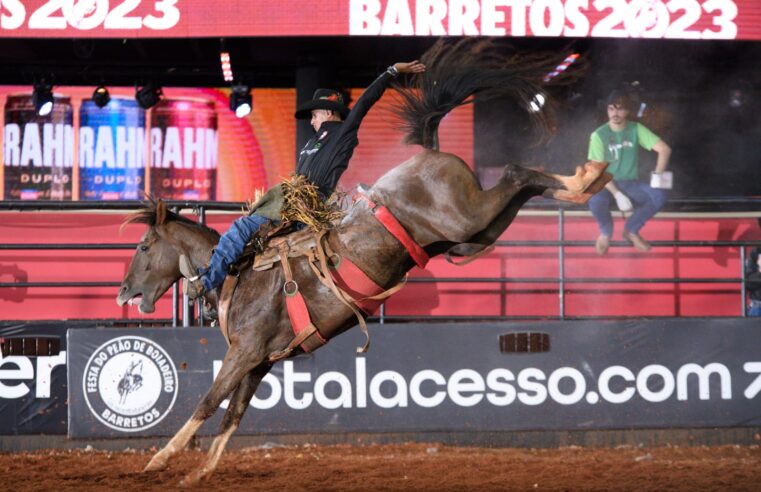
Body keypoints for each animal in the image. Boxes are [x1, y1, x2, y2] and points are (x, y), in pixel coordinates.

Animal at [114, 39, 612, 484]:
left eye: (143, 247)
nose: (124, 292)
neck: (239, 276)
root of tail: (429, 150)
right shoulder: (260, 362)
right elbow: (232, 415)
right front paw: (198, 473)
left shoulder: (245, 352)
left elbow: (207, 401)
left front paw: (159, 460)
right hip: (470, 236)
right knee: (518, 190)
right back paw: (585, 180)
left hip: (467, 217)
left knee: (513, 172)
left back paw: (586, 177)